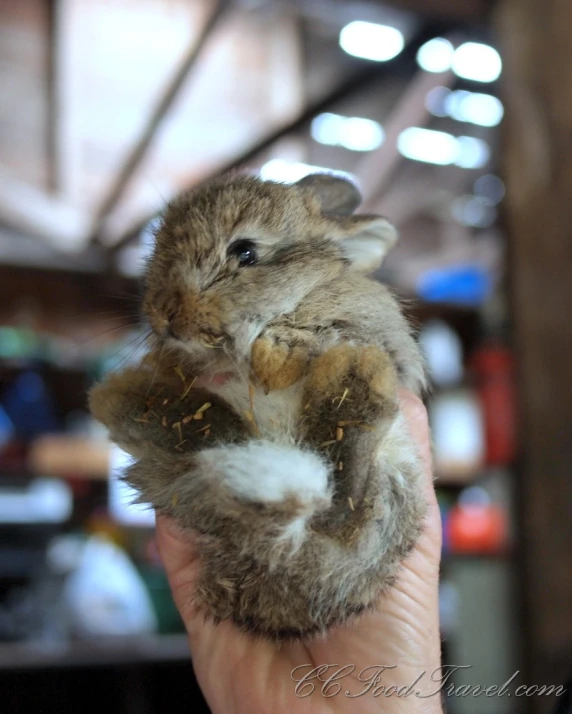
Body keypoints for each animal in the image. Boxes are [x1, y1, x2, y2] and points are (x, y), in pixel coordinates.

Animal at [89, 172, 426, 640]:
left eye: (245, 252)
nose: (165, 315)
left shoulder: (356, 325)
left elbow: (303, 337)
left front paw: (271, 358)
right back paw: (128, 398)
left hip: (390, 491)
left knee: (344, 505)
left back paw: (354, 371)